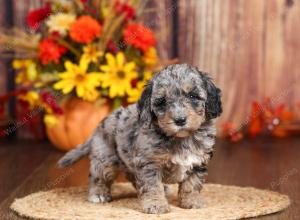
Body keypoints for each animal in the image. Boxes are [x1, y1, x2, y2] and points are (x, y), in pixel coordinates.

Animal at [58, 63, 223, 213]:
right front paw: (156, 205)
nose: (180, 120)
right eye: (162, 101)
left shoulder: (198, 161)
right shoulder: (149, 164)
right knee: (98, 176)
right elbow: (152, 186)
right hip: (105, 159)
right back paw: (98, 194)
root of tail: (99, 125)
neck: (181, 138)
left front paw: (192, 201)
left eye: (192, 96)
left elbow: (192, 184)